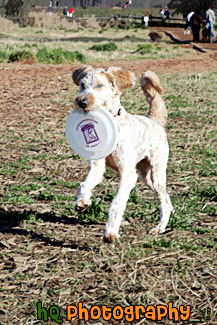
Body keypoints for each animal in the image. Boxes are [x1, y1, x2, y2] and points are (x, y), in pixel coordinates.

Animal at [72, 66, 174, 242]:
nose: (82, 103)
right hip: (146, 177)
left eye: (99, 85)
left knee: (164, 201)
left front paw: (110, 232)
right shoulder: (98, 167)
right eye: (82, 85)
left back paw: (159, 228)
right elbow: (84, 184)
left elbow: (117, 202)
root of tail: (154, 121)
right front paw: (82, 202)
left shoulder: (128, 174)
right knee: (166, 198)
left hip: (157, 173)